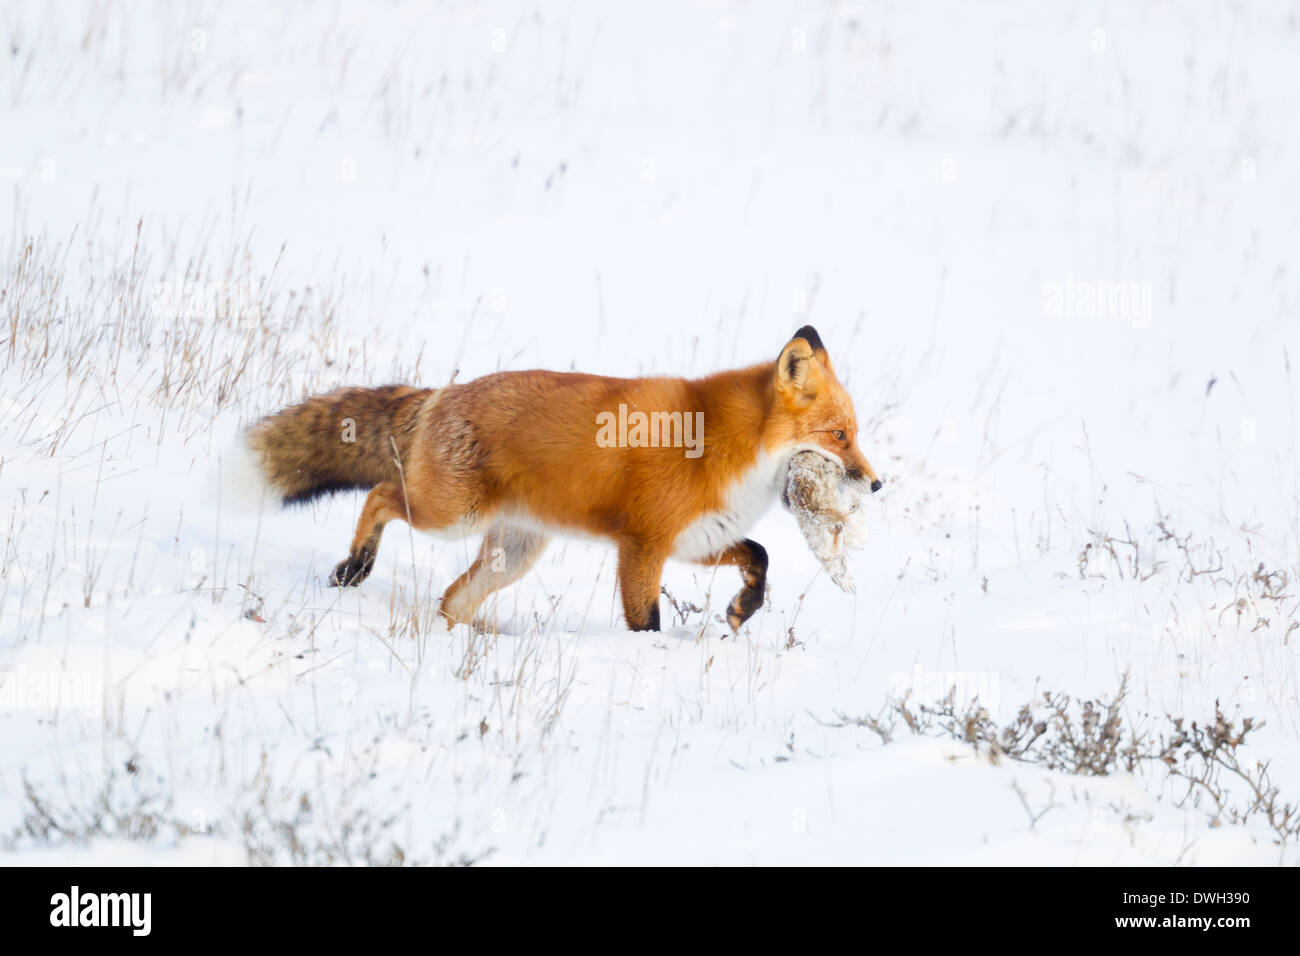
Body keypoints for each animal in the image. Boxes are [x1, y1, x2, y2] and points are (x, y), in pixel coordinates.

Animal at [239, 329, 878, 634]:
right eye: (840, 435)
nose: (876, 485)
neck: (724, 447)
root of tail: (442, 394)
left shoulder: (695, 539)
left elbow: (760, 555)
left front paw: (744, 608)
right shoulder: (643, 546)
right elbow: (646, 619)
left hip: (512, 555)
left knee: (450, 600)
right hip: (448, 515)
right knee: (379, 496)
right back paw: (354, 567)